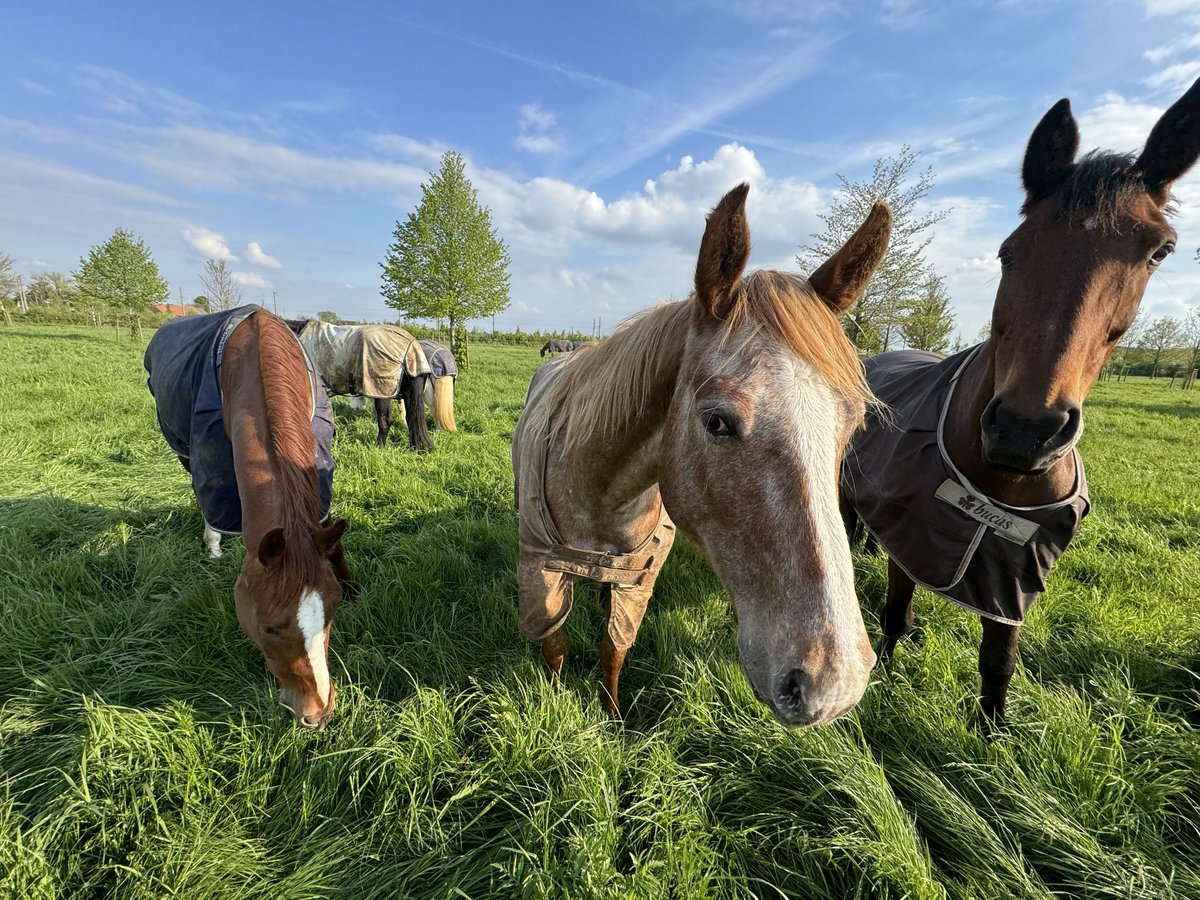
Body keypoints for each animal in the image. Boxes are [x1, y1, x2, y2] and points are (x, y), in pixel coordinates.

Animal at [145, 307, 355, 729]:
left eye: (332, 611)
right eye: (269, 627)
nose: (318, 712)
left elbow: (329, 532)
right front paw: (214, 546)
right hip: (180, 447)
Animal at [288, 321, 434, 453]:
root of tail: (411, 346)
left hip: (382, 392)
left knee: (386, 421)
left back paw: (379, 448)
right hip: (406, 394)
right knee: (412, 419)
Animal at [511, 187, 897, 729]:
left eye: (854, 424)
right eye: (716, 422)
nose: (833, 684)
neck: (601, 494)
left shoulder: (640, 579)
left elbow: (614, 648)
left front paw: (610, 716)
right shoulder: (539, 572)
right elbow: (555, 645)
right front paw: (551, 701)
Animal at [840, 79, 1200, 734]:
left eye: (1159, 251)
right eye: (1010, 250)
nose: (1024, 431)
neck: (998, 482)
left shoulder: (1014, 576)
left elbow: (998, 659)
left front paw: (991, 735)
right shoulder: (919, 537)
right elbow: (897, 612)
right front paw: (883, 673)